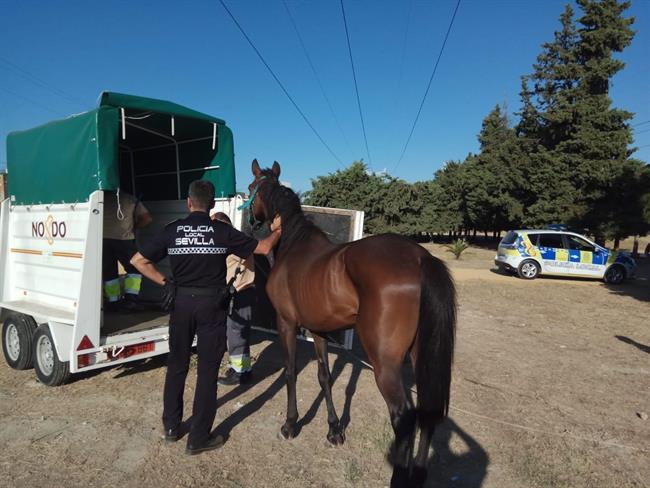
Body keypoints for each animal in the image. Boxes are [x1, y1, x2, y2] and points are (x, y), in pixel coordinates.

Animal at [245, 159, 456, 487]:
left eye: (249, 189)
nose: (252, 222)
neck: (294, 245)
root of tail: (421, 257)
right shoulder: (318, 329)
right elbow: (325, 377)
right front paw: (334, 429)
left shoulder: (287, 323)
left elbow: (291, 371)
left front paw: (291, 424)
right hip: (421, 355)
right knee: (427, 413)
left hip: (385, 364)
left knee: (403, 417)